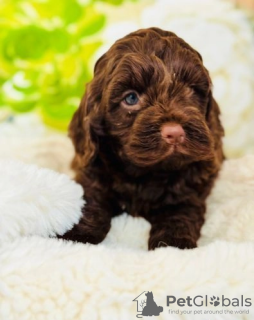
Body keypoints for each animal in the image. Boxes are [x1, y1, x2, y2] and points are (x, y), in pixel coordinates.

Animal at [61, 27, 224, 250]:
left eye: (191, 91)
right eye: (131, 98)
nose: (174, 132)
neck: (146, 172)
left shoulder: (190, 186)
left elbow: (180, 211)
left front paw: (173, 243)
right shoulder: (92, 172)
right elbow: (91, 201)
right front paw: (78, 235)